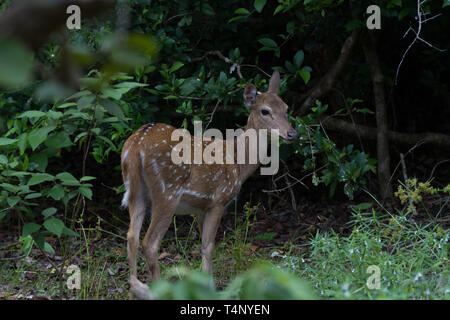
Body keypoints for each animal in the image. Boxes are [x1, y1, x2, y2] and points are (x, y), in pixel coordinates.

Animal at [121, 71, 298, 298]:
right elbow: (208, 246)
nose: (292, 134)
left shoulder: (200, 208)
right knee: (149, 243)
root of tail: (135, 146)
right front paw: (212, 289)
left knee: (131, 236)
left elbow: (202, 245)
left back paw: (134, 289)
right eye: (265, 111)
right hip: (167, 191)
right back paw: (157, 290)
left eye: (286, 108)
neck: (238, 164)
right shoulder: (219, 200)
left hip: (135, 191)